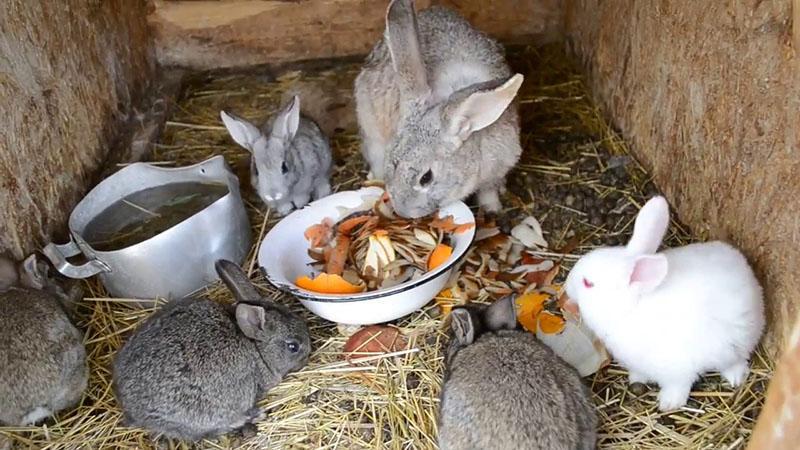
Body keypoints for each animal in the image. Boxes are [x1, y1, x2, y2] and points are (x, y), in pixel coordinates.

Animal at [354, 0, 520, 218]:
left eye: (426, 177)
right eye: (393, 162)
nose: (402, 212)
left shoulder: (498, 168)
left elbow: (488, 191)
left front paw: (493, 209)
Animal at [564, 196, 764, 412]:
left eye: (588, 283)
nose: (566, 286)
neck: (631, 308)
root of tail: (749, 276)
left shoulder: (677, 369)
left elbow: (678, 386)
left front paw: (668, 403)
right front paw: (636, 379)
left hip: (734, 344)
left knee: (736, 361)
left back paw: (735, 377)